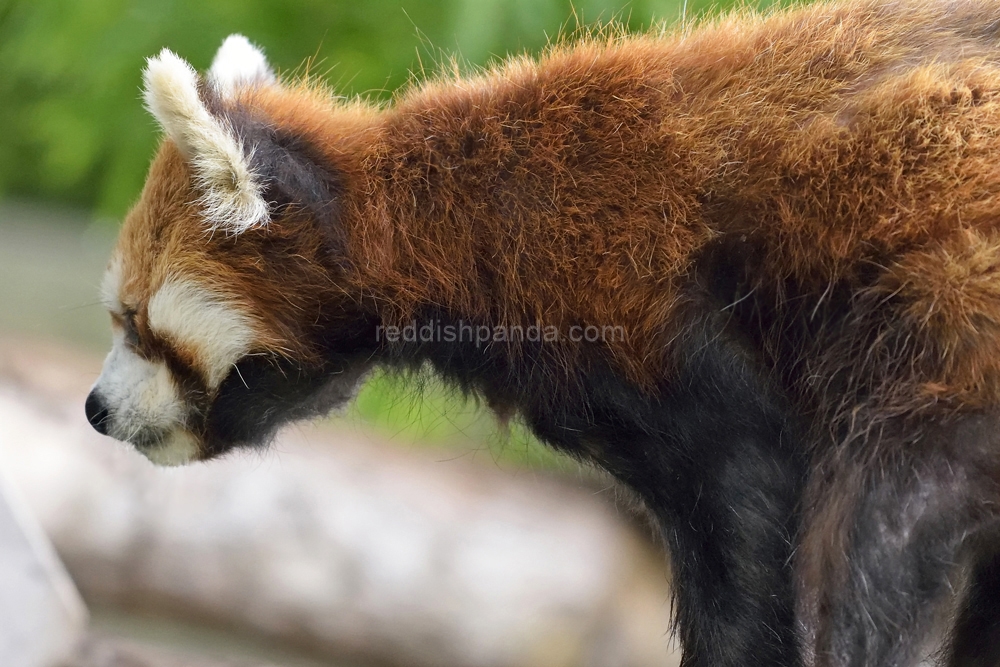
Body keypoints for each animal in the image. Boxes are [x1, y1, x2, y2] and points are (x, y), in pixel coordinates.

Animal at [84, 1, 1000, 664]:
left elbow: (749, 533)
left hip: (935, 322)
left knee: (885, 531)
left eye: (136, 322)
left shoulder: (674, 344)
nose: (93, 408)